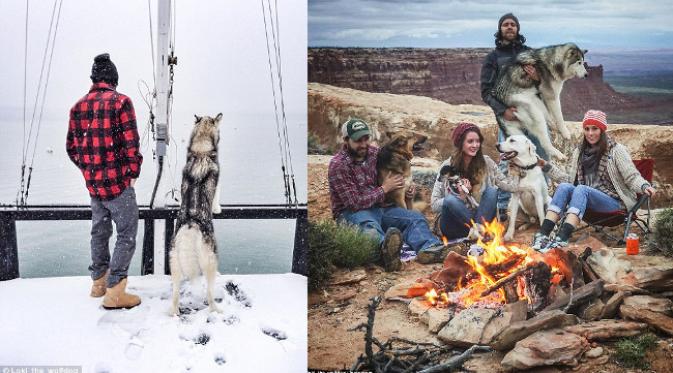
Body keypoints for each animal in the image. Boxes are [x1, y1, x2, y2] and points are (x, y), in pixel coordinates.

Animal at [168, 112, 223, 314]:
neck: (201, 150)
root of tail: (191, 224)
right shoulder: (218, 182)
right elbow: (217, 197)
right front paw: (217, 208)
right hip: (210, 258)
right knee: (210, 291)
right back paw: (216, 309)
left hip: (174, 262)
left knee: (175, 295)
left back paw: (174, 312)